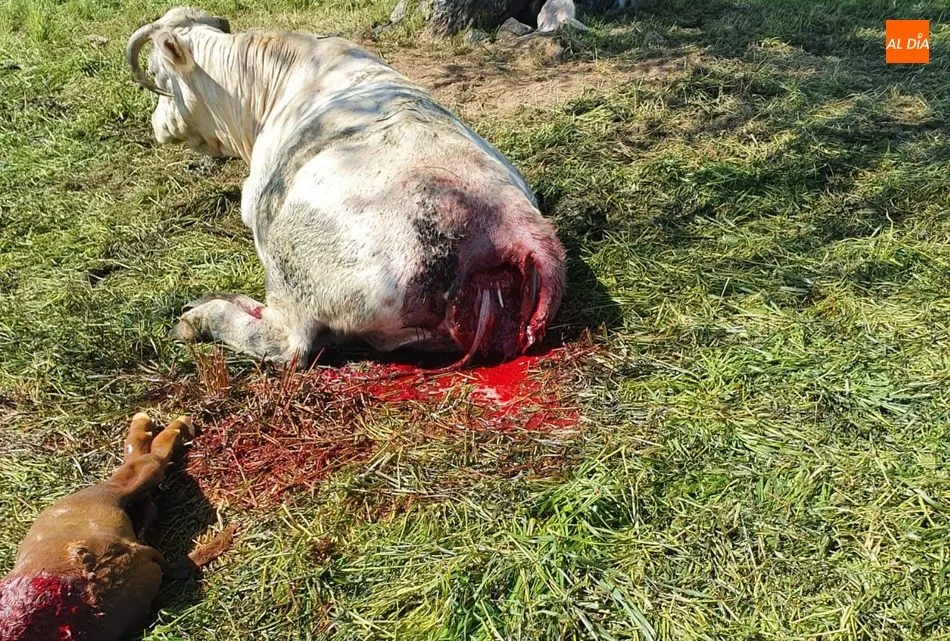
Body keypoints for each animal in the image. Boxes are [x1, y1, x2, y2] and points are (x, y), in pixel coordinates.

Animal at [126, 7, 566, 368]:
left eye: (160, 77)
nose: (155, 125)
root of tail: (511, 222)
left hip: (291, 261)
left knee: (285, 344)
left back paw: (200, 317)